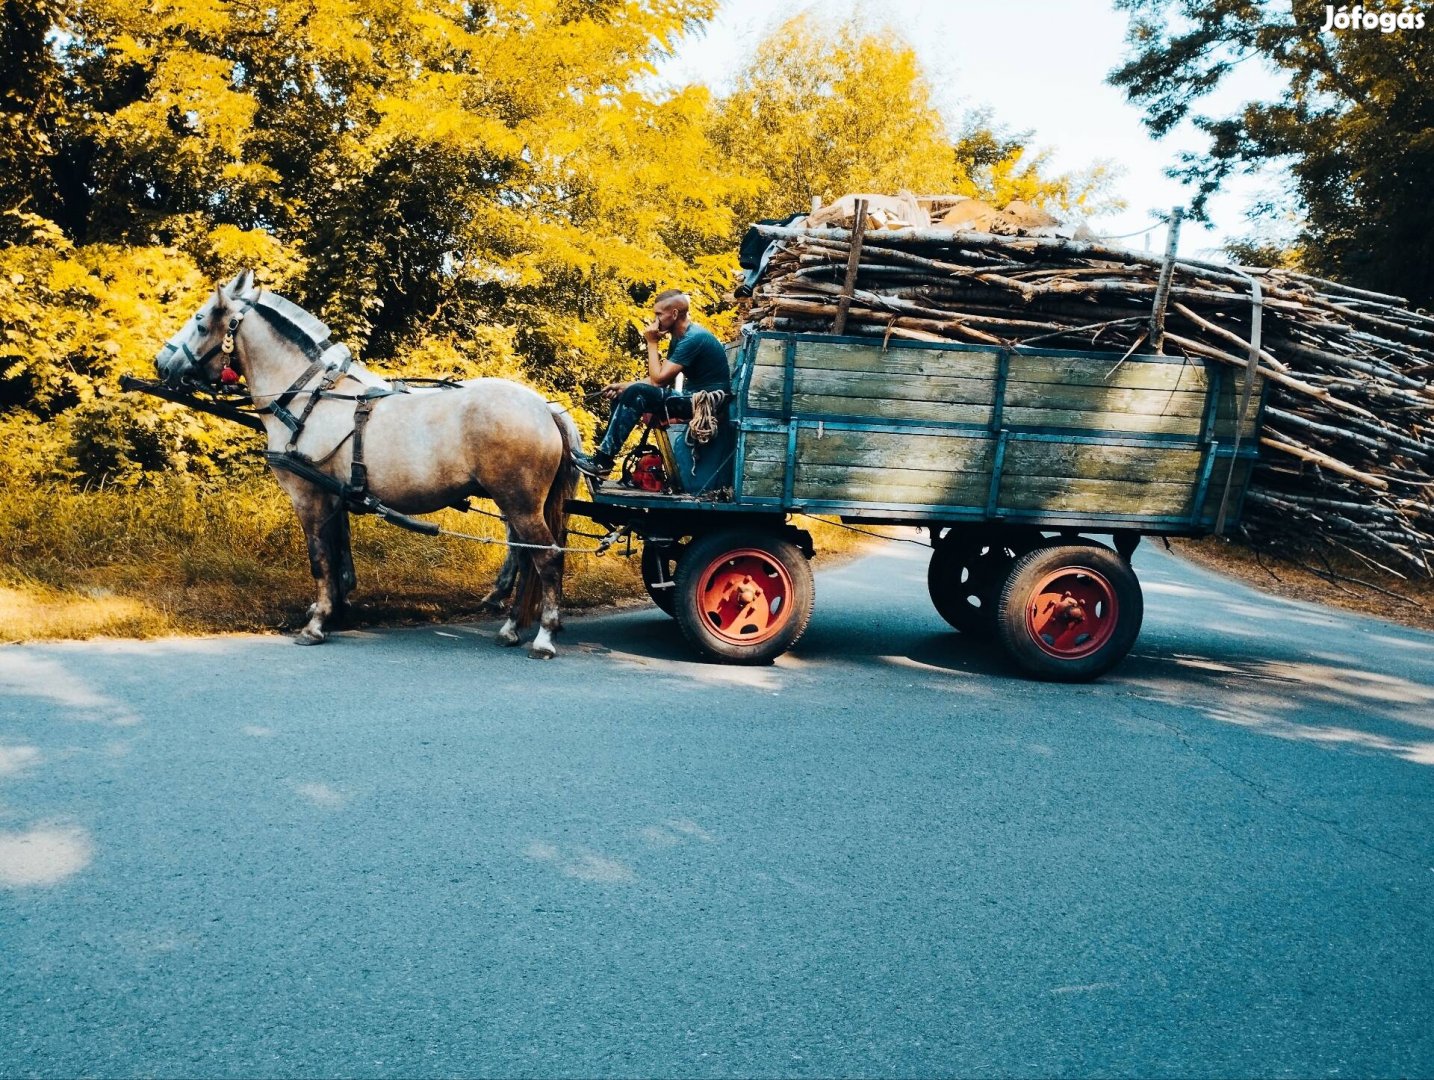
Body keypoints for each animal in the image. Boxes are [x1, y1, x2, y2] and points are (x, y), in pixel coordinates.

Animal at [154, 271, 579, 656]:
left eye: (200, 321)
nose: (161, 363)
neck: (310, 398)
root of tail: (544, 406)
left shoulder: (308, 496)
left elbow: (320, 559)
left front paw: (317, 623)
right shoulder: (334, 495)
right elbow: (339, 555)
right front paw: (335, 610)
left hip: (519, 502)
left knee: (546, 557)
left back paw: (543, 637)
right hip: (514, 503)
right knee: (525, 557)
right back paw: (510, 627)